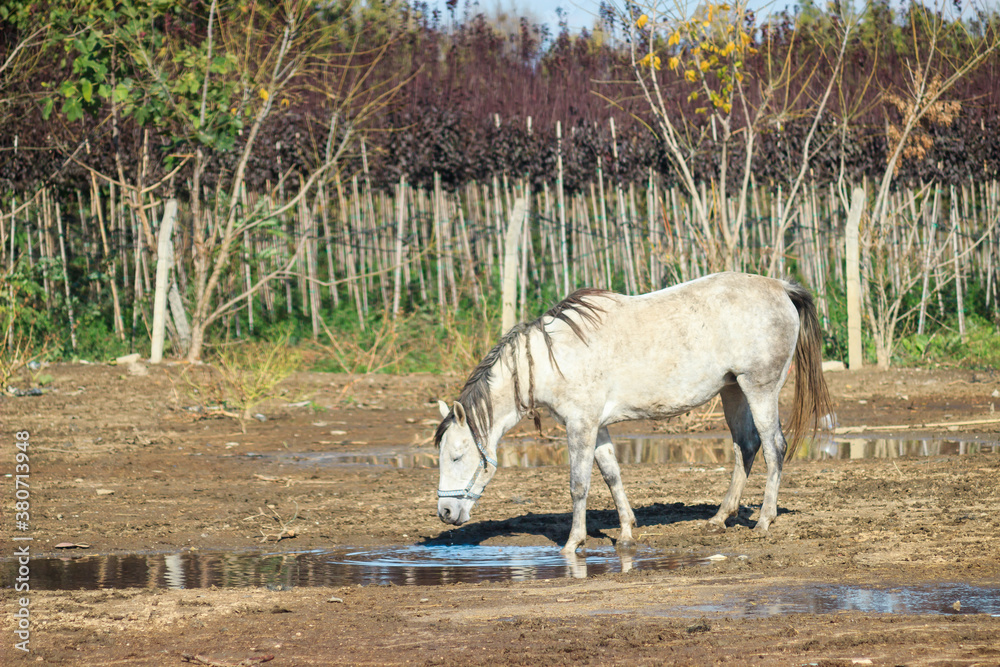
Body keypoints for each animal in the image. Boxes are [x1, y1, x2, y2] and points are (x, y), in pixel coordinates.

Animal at [434, 272, 832, 554]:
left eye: (457, 456)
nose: (445, 513)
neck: (553, 358)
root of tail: (780, 287)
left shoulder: (580, 426)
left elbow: (579, 485)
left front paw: (573, 543)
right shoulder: (597, 427)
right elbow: (612, 476)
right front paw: (626, 532)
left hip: (759, 388)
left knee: (774, 447)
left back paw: (764, 520)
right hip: (732, 390)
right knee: (745, 447)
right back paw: (719, 518)